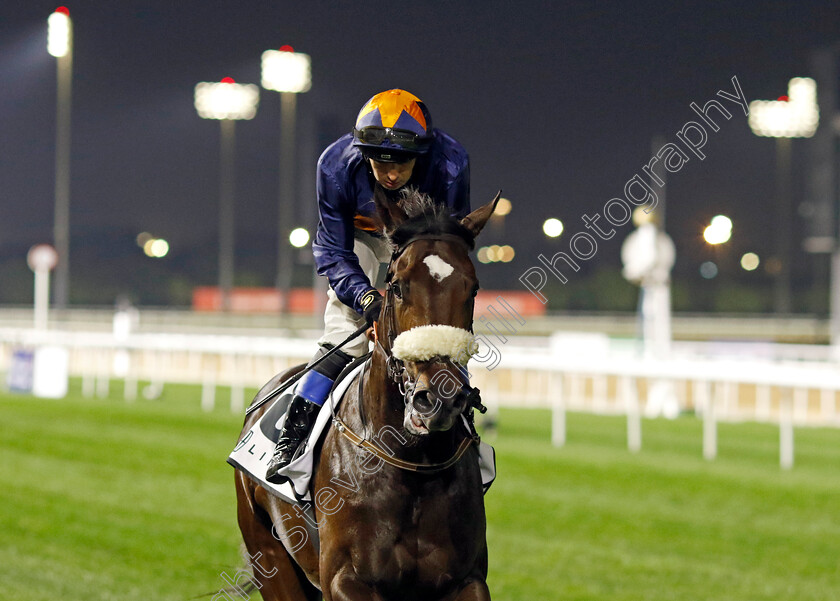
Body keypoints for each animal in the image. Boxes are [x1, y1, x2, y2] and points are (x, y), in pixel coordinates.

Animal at [233, 188, 498, 600]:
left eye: (472, 287)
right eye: (398, 285)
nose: (439, 398)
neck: (413, 463)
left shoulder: (466, 579)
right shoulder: (345, 579)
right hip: (270, 555)